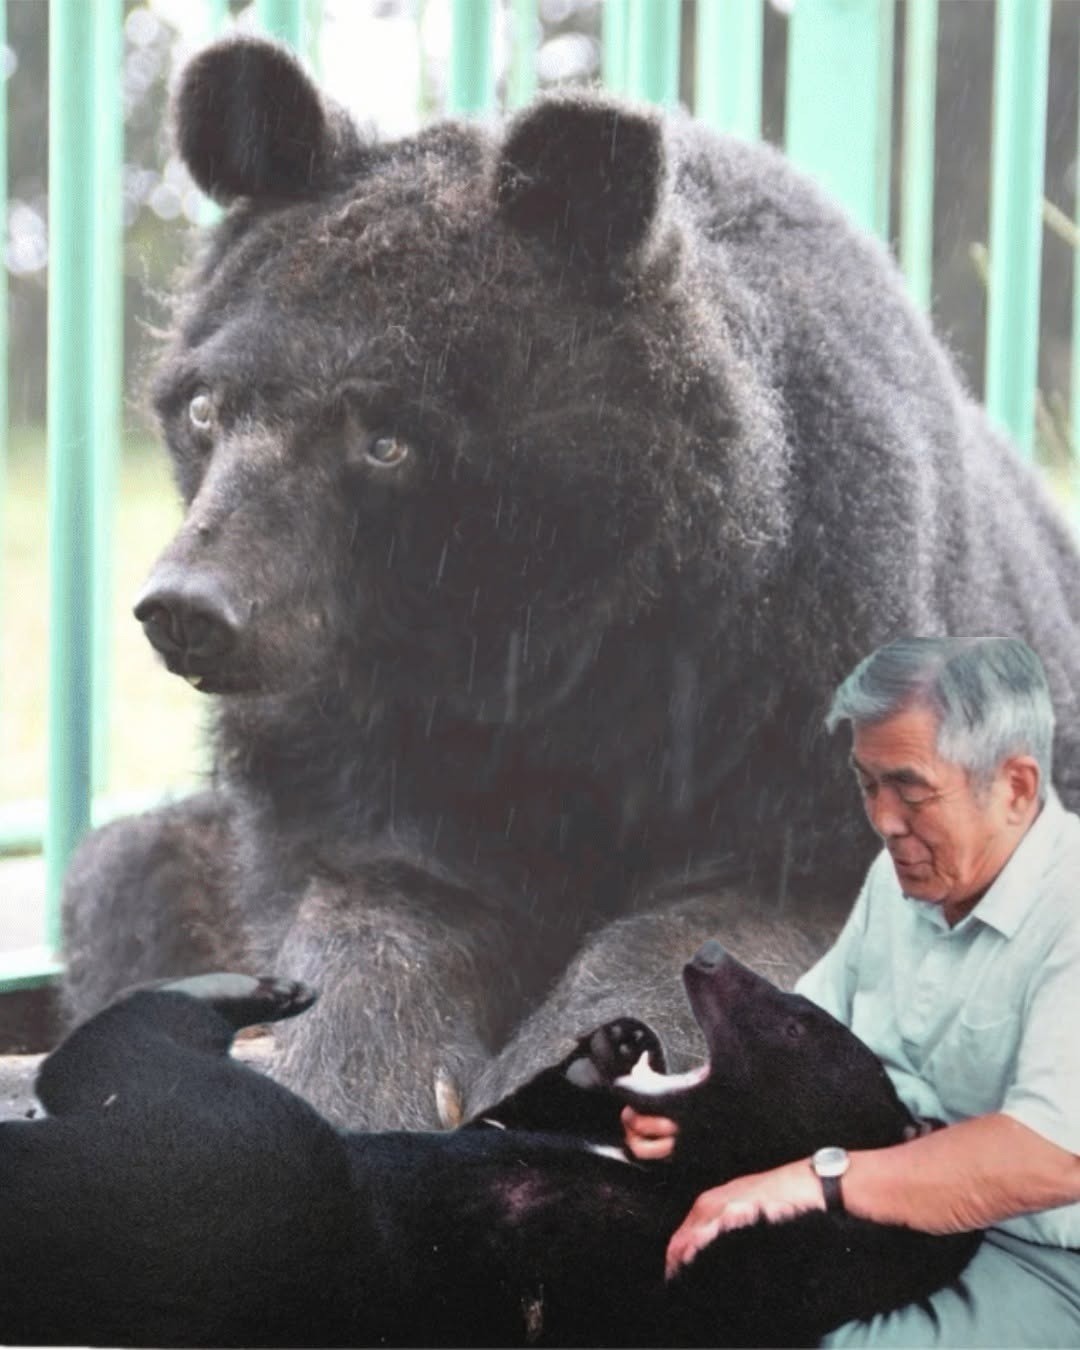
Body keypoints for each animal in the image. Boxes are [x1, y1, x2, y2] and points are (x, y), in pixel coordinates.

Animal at [1, 946, 980, 1348]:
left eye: (795, 1021)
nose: (705, 959)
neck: (692, 1165)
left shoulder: (736, 1286)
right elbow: (497, 1122)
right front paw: (609, 1046)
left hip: (247, 1190)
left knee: (124, 1055)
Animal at [62, 36, 1080, 1129]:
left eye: (386, 439)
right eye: (204, 409)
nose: (187, 608)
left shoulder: (807, 656)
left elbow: (730, 918)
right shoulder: (358, 748)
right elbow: (381, 899)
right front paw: (346, 1071)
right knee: (126, 872)